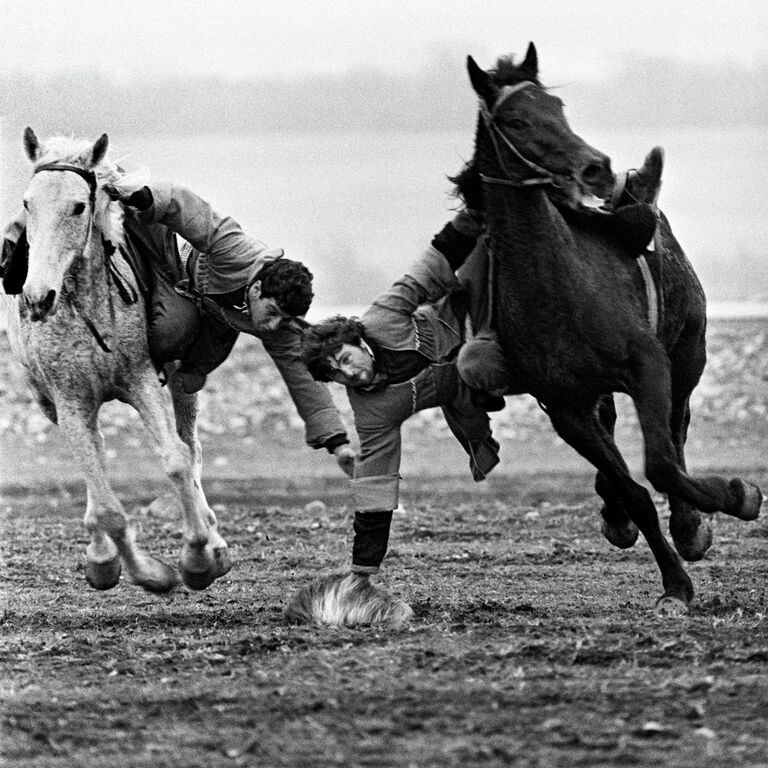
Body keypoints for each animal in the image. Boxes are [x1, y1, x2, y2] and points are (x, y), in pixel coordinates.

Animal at [3, 129, 231, 592]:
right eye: (27, 203)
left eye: (78, 206)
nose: (37, 297)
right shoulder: (70, 401)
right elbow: (106, 503)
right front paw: (142, 572)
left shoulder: (141, 381)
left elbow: (176, 458)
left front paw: (199, 558)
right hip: (50, 403)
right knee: (97, 459)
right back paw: (101, 554)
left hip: (181, 380)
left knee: (191, 447)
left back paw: (213, 539)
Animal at [462, 45, 760, 616]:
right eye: (516, 120)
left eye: (558, 106)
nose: (595, 167)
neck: (559, 286)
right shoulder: (564, 406)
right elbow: (634, 490)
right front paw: (674, 583)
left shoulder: (648, 365)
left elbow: (662, 463)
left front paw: (735, 498)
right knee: (619, 439)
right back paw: (621, 514)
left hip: (687, 355)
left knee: (678, 423)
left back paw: (689, 523)